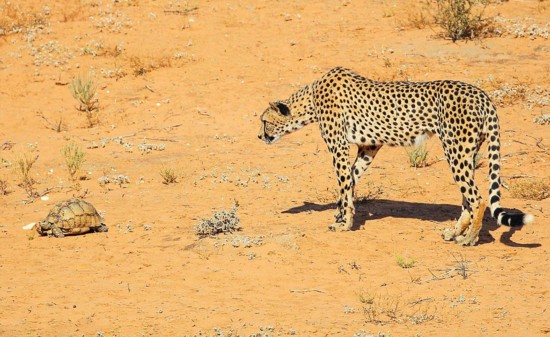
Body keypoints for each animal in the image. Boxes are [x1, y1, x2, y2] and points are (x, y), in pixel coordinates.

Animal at [258, 66, 536, 244]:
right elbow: (350, 183)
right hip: (467, 152)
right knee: (467, 198)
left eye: (264, 122)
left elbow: (344, 183)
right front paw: (341, 215)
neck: (311, 99)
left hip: (455, 151)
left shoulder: (339, 147)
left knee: (477, 198)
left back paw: (469, 238)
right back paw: (454, 233)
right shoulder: (369, 147)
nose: (260, 137)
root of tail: (483, 95)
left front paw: (344, 224)